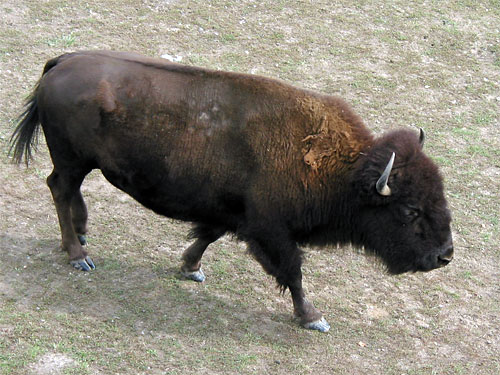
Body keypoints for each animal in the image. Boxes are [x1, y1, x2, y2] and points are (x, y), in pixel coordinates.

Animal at [9, 50, 454, 332]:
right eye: (410, 210)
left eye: (440, 194)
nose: (445, 255)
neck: (343, 169)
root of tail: (63, 62)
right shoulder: (270, 230)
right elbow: (292, 272)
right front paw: (313, 317)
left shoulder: (232, 214)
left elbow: (208, 236)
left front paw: (190, 268)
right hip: (71, 160)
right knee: (59, 189)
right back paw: (78, 255)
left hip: (81, 163)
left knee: (69, 192)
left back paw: (82, 236)